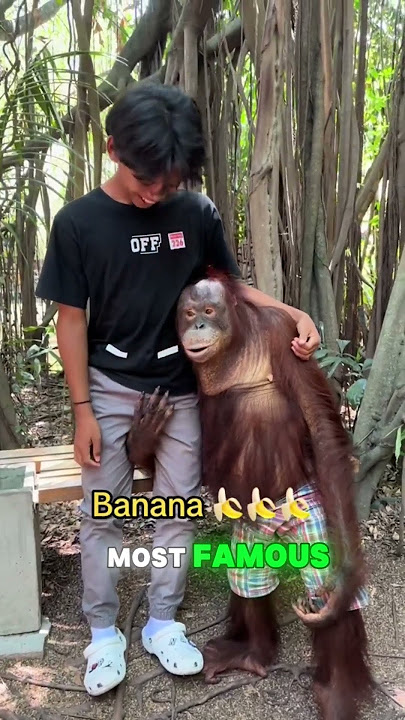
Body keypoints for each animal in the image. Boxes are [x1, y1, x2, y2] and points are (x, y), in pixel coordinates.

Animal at [127, 271, 374, 720]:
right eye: (188, 313)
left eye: (209, 311)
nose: (197, 325)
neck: (234, 348)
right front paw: (144, 436)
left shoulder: (284, 338)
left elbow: (323, 432)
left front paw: (345, 580)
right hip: (254, 530)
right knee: (249, 577)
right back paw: (253, 655)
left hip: (306, 508)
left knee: (323, 587)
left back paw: (336, 692)